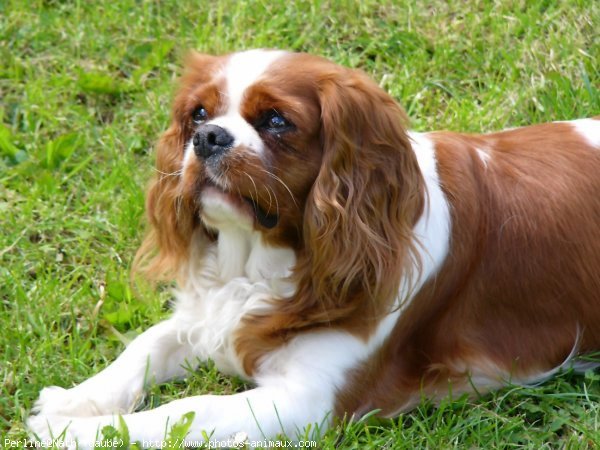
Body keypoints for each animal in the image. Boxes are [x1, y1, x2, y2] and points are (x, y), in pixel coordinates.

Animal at [28, 49, 600, 446]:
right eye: (198, 113)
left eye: (277, 121)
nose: (208, 137)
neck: (259, 262)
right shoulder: (210, 316)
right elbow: (147, 345)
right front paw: (73, 402)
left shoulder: (306, 402)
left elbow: (189, 410)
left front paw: (76, 434)